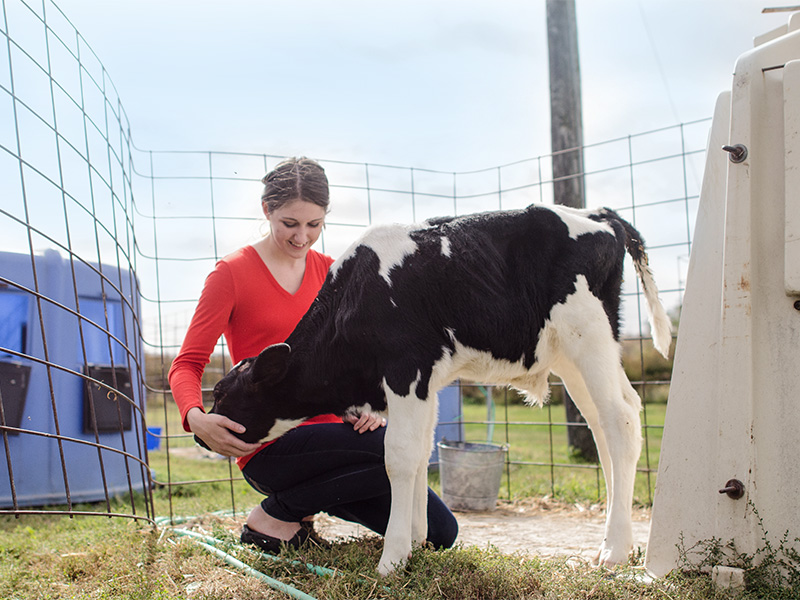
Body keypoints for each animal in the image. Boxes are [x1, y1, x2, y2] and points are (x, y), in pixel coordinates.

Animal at [205, 204, 668, 576]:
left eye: (223, 392)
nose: (203, 434)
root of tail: (599, 215)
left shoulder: (406, 370)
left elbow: (398, 457)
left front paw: (392, 558)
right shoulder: (425, 381)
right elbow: (419, 452)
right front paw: (417, 540)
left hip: (587, 335)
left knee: (620, 421)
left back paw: (614, 551)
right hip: (572, 356)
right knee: (607, 425)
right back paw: (615, 541)